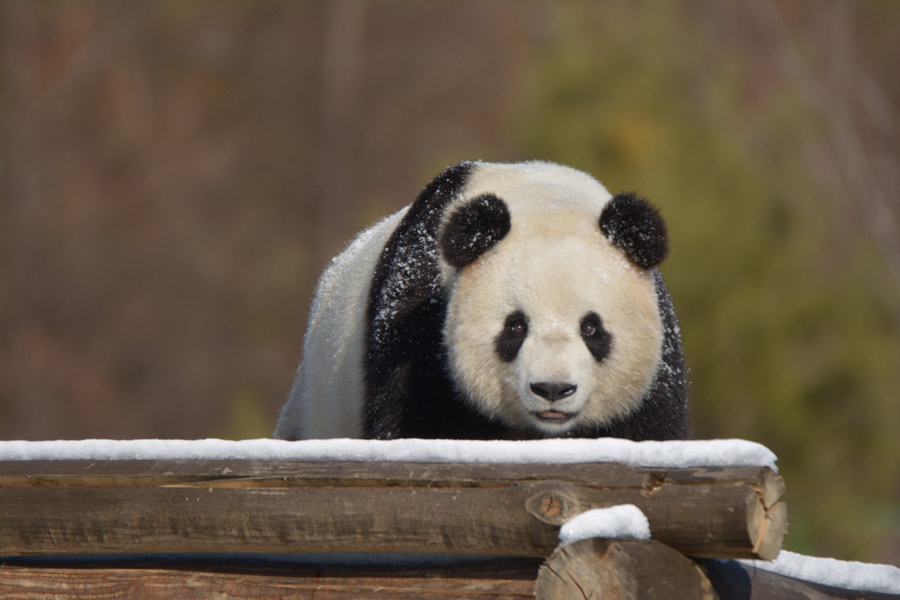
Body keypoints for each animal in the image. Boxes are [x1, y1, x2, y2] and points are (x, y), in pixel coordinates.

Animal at [274, 159, 688, 440]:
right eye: (515, 327)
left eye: (591, 329)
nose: (553, 389)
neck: (546, 201)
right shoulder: (420, 312)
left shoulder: (657, 363)